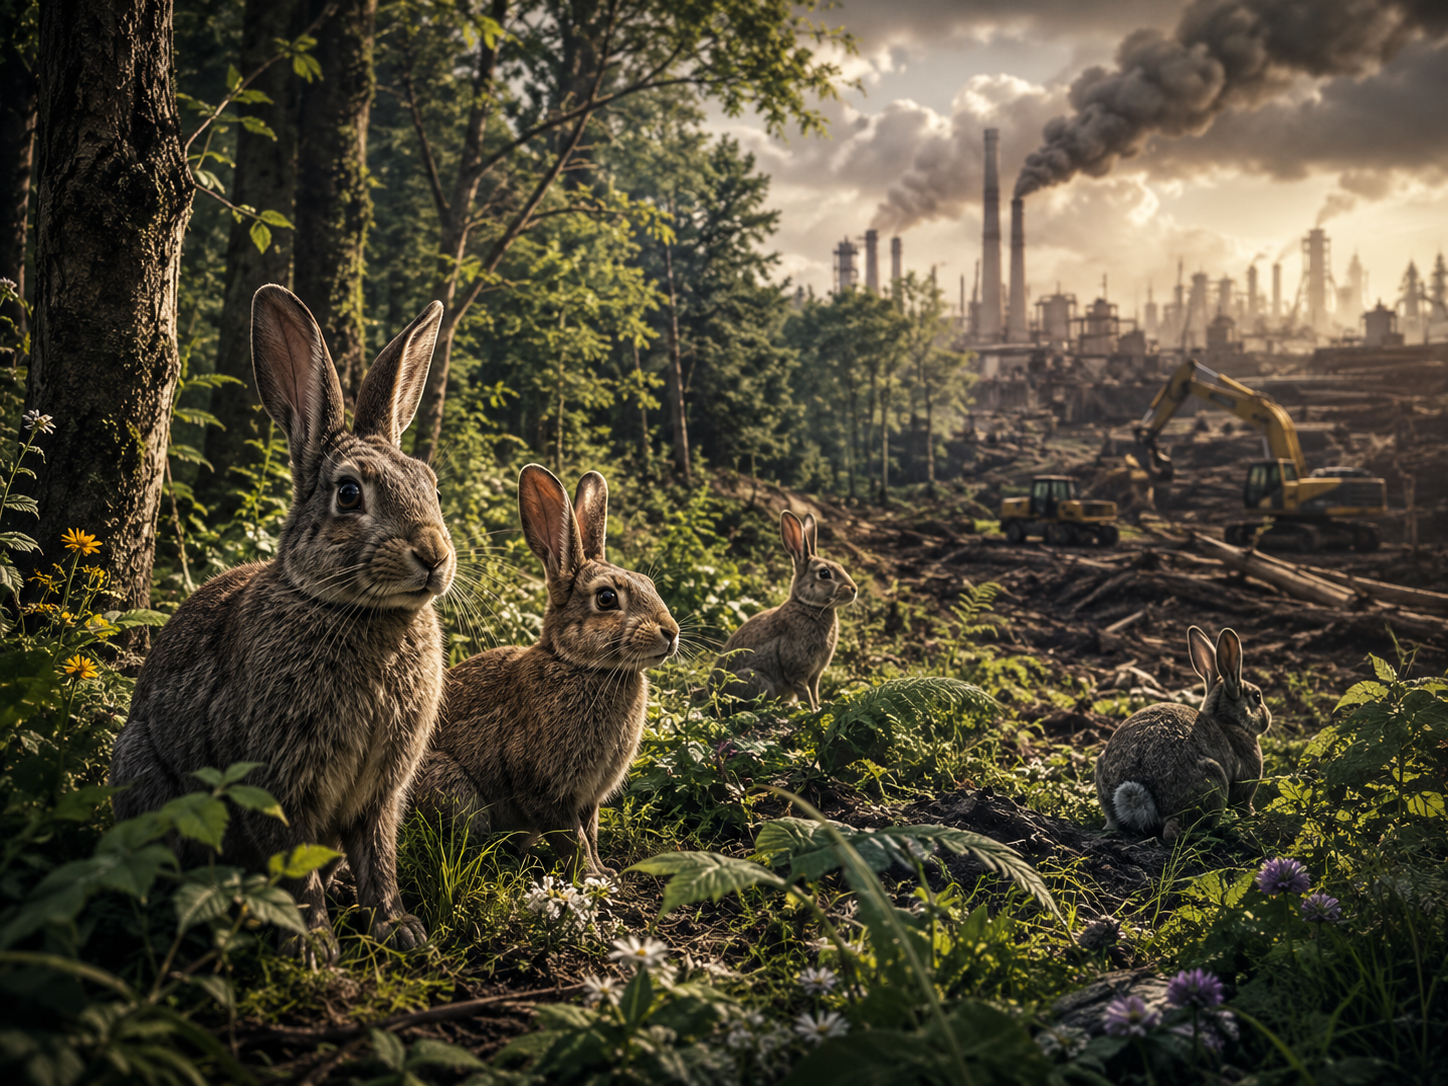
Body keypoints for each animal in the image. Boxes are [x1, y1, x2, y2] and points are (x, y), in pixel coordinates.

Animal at [109, 285, 455, 965]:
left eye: (430, 485)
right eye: (348, 495)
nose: (432, 554)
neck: (363, 614)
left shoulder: (381, 794)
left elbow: (380, 860)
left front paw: (400, 931)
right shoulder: (275, 785)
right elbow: (295, 870)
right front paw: (315, 948)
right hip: (147, 776)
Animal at [411, 465, 680, 877]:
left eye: (649, 584)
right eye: (606, 598)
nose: (671, 632)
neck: (579, 664)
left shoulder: (588, 798)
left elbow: (591, 833)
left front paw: (604, 873)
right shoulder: (545, 790)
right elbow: (573, 840)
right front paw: (590, 879)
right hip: (452, 789)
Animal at [710, 510, 857, 712]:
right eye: (825, 573)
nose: (854, 589)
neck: (809, 606)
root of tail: (712, 693)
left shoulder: (815, 674)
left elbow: (814, 692)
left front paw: (819, 708)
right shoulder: (797, 670)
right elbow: (805, 693)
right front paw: (812, 711)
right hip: (757, 682)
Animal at [1095, 626, 1271, 841]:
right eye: (1257, 697)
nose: (1268, 719)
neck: (1229, 722)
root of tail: (1138, 797)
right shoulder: (1246, 783)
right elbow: (1244, 802)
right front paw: (1254, 816)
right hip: (1212, 782)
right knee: (1174, 831)